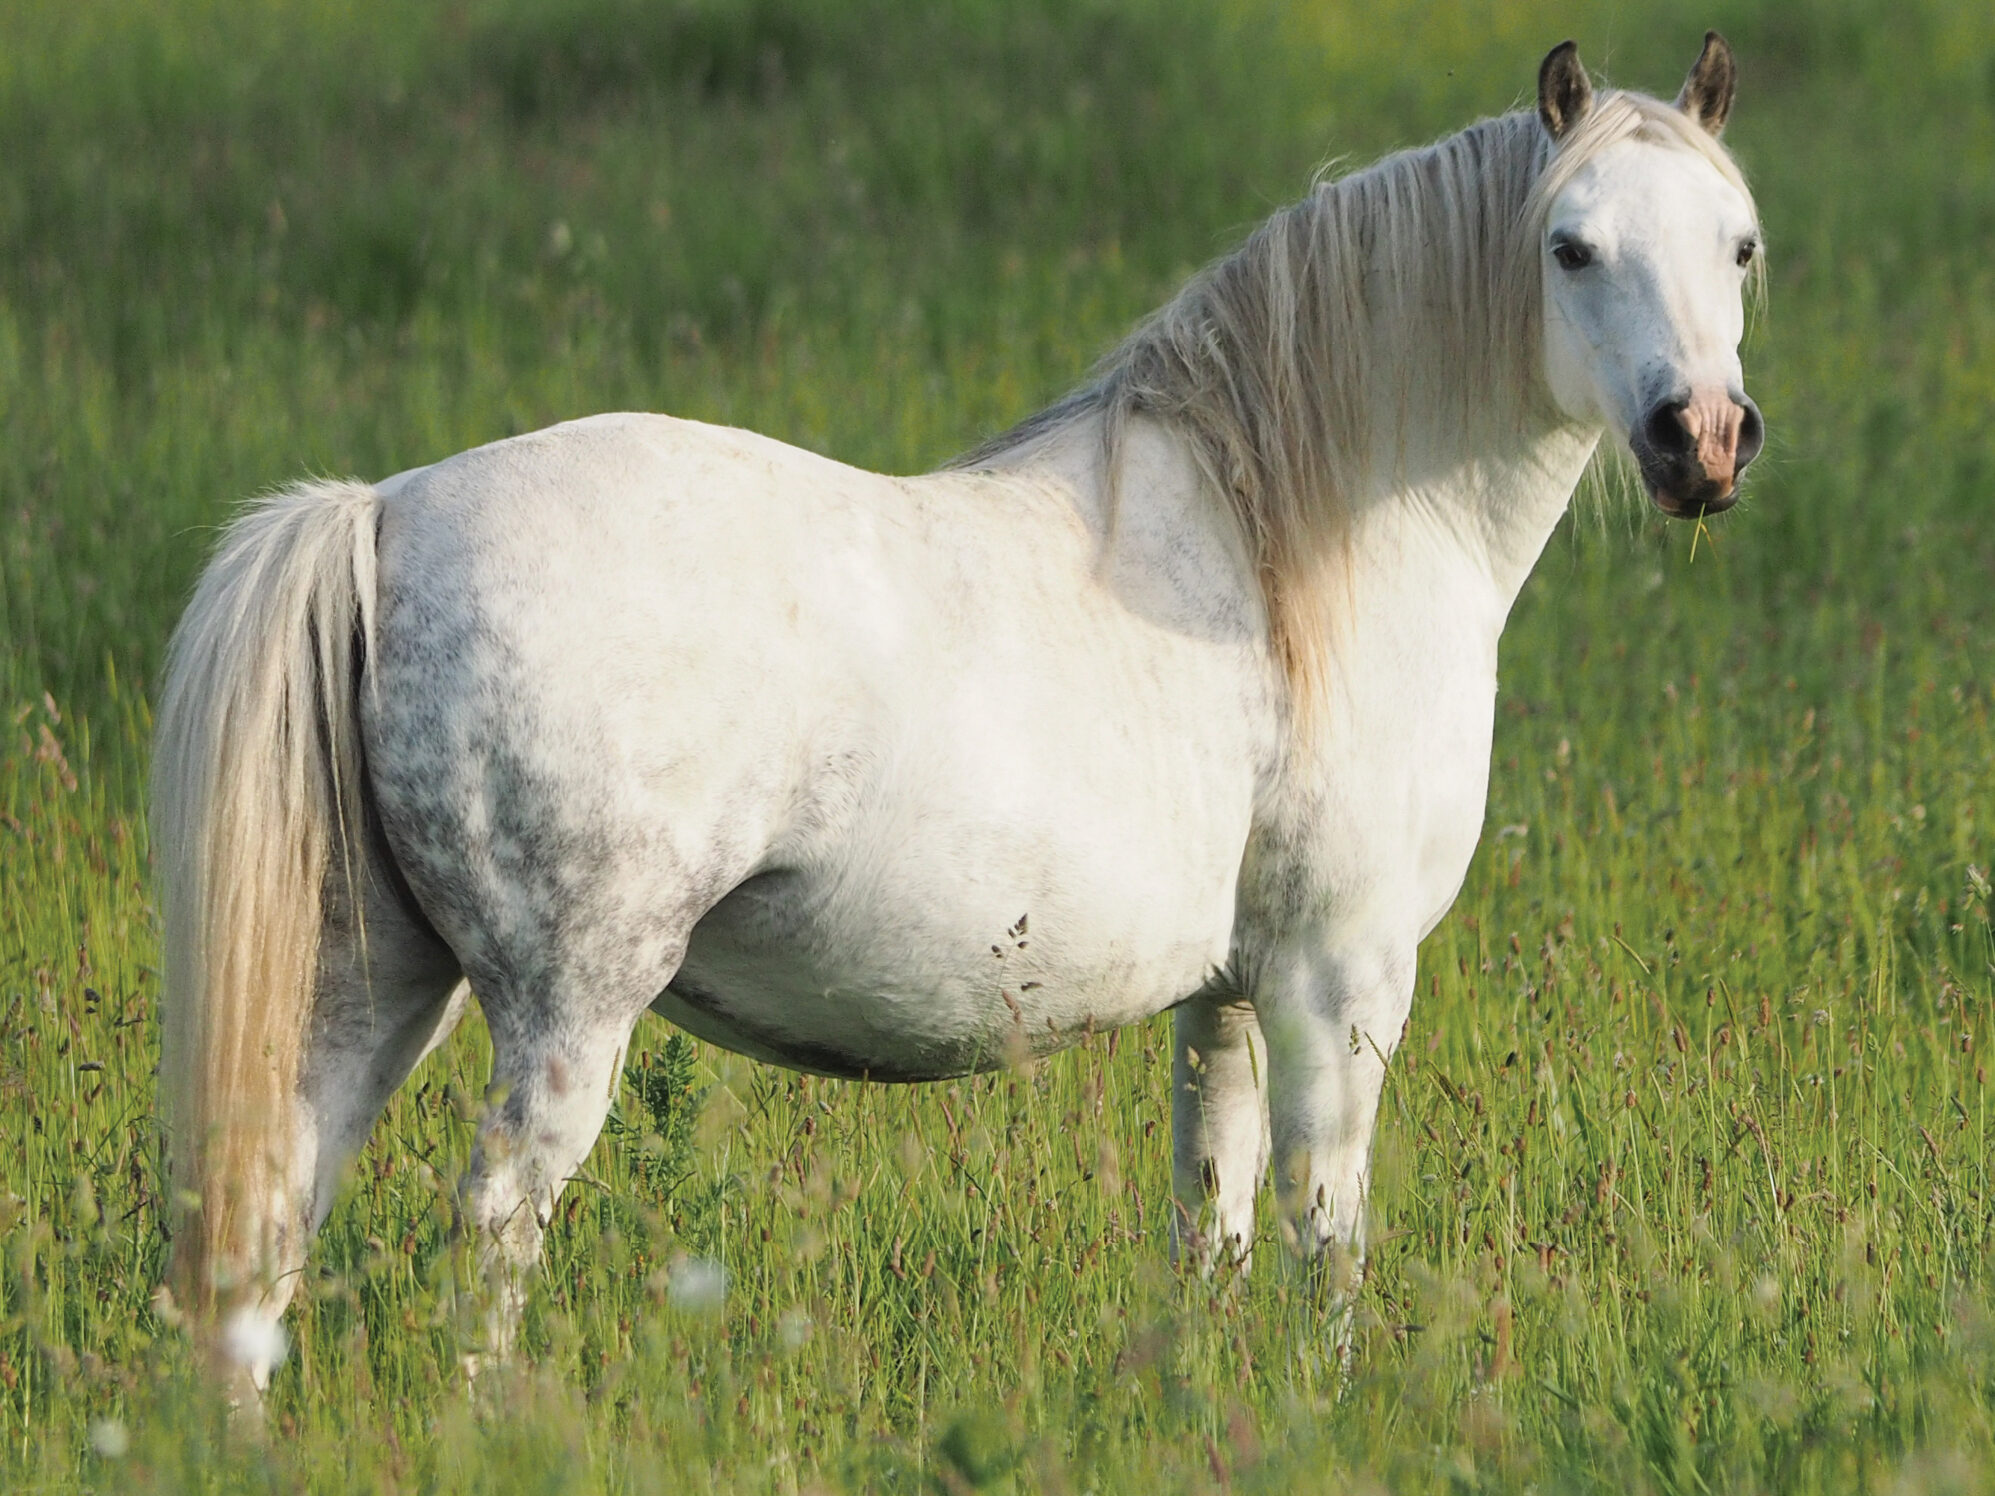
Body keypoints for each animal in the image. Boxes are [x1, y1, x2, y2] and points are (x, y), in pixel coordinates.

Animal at [151, 35, 1764, 1393]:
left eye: (1738, 245)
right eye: (1569, 246)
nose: (1702, 440)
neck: (1297, 544)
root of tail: (384, 514)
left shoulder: (1229, 997)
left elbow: (1216, 1219)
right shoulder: (1335, 981)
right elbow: (1327, 1229)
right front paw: (1338, 1404)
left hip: (371, 988)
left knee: (267, 1226)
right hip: (562, 1011)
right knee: (489, 1231)